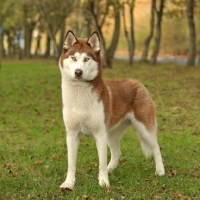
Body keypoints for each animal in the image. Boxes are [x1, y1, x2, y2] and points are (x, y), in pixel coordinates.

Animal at [57, 30, 164, 189]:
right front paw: (69, 183)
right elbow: (71, 164)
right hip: (111, 134)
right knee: (117, 152)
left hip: (144, 128)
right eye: (74, 58)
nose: (78, 72)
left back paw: (160, 171)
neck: (80, 94)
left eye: (87, 59)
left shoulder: (99, 134)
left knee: (156, 148)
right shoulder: (71, 134)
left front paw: (103, 182)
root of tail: (138, 82)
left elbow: (101, 162)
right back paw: (110, 169)